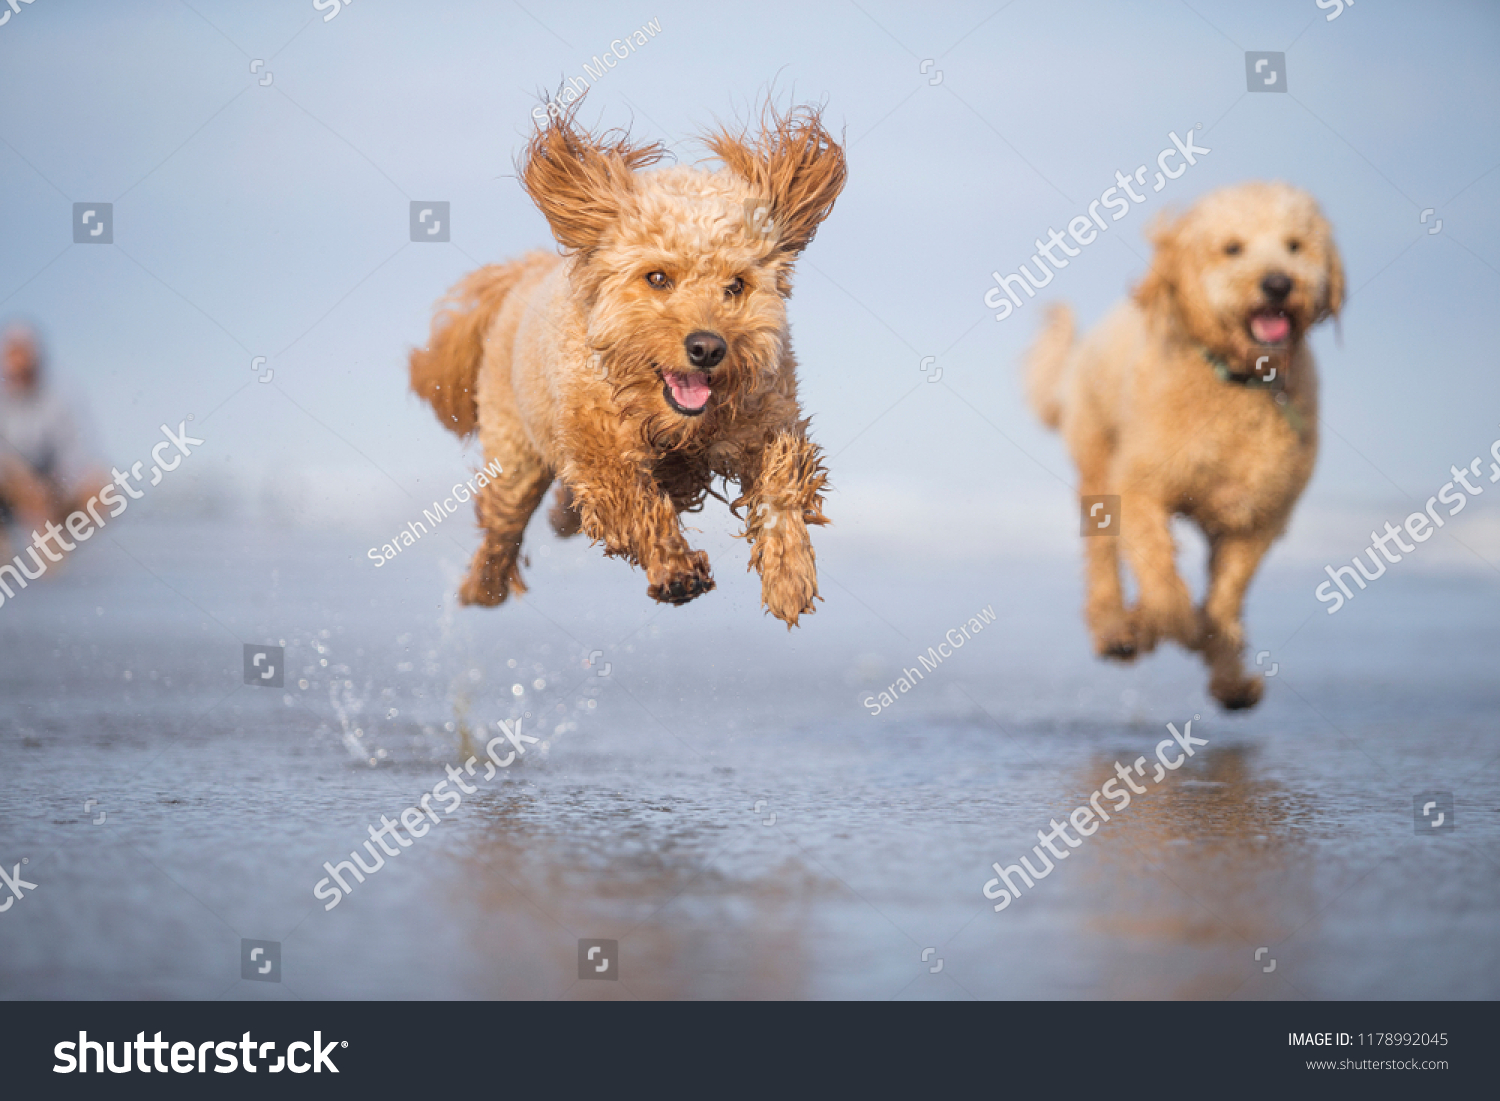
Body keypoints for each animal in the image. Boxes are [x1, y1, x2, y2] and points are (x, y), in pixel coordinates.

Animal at [411, 104, 846, 630]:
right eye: (657, 277)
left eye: (737, 285)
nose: (707, 347)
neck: (679, 426)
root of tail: (527, 272)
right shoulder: (600, 449)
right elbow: (634, 504)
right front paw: (676, 570)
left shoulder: (767, 419)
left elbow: (782, 485)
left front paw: (789, 574)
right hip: (515, 452)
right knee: (503, 523)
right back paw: (485, 586)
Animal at [1032, 183, 1350, 708]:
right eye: (1232, 248)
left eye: (1295, 245)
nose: (1278, 284)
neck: (1236, 379)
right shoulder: (1139, 490)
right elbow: (1164, 587)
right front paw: (1156, 624)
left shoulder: (1257, 517)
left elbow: (1226, 597)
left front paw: (1227, 672)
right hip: (1097, 464)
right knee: (1102, 558)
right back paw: (1116, 627)